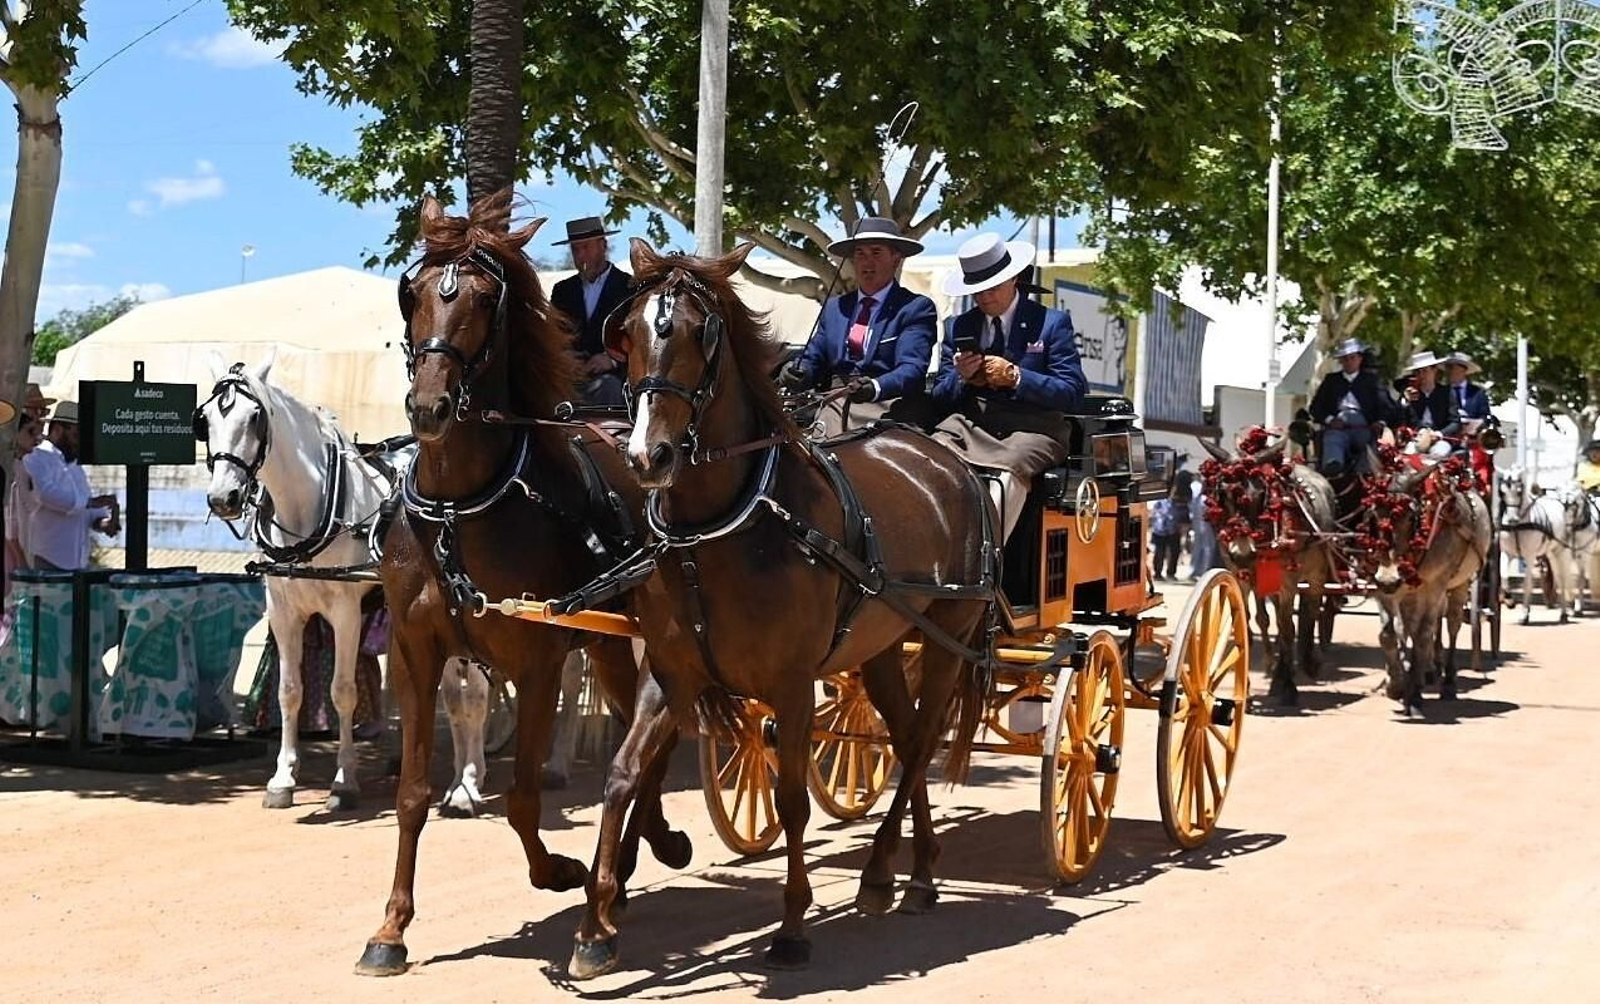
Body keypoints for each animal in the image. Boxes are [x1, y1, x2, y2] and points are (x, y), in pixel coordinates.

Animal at [356, 193, 689, 977]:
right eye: (414, 291)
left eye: (485, 300)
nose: (428, 407)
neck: (461, 506)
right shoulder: (413, 653)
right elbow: (412, 794)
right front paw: (391, 928)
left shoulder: (537, 660)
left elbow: (525, 800)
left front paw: (561, 872)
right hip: (610, 643)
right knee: (643, 731)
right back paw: (641, 845)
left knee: (657, 731)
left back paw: (641, 850)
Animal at [568, 240, 997, 978]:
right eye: (628, 333)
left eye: (701, 333)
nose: (648, 455)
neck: (722, 528)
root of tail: (949, 461)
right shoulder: (671, 673)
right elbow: (622, 777)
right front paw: (596, 929)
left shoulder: (793, 685)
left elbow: (794, 798)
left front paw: (793, 926)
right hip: (883, 645)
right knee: (905, 736)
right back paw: (908, 871)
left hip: (947, 636)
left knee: (921, 744)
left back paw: (895, 875)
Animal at [1200, 435, 1338, 705]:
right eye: (1222, 493)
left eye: (1260, 494)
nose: (1243, 552)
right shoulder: (1239, 575)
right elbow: (1245, 624)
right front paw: (1246, 686)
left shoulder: (1288, 580)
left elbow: (1286, 629)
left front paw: (1288, 686)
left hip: (1316, 574)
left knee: (1309, 612)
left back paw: (1302, 665)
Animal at [1362, 458, 1491, 715]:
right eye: (1373, 516)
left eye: (1410, 518)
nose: (1389, 579)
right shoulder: (1384, 588)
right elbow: (1388, 634)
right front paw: (1396, 685)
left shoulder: (1434, 586)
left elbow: (1423, 636)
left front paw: (1412, 695)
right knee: (1410, 626)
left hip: (1458, 584)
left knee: (1450, 624)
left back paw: (1446, 681)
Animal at [1497, 467, 1575, 624]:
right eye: (1502, 492)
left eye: (1519, 491)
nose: (1512, 519)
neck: (1517, 527)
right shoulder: (1506, 553)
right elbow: (1503, 576)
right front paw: (1508, 600)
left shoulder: (1530, 556)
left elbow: (1527, 584)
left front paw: (1524, 614)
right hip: (1550, 553)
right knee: (1557, 577)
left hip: (1561, 551)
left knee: (1562, 579)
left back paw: (1564, 612)